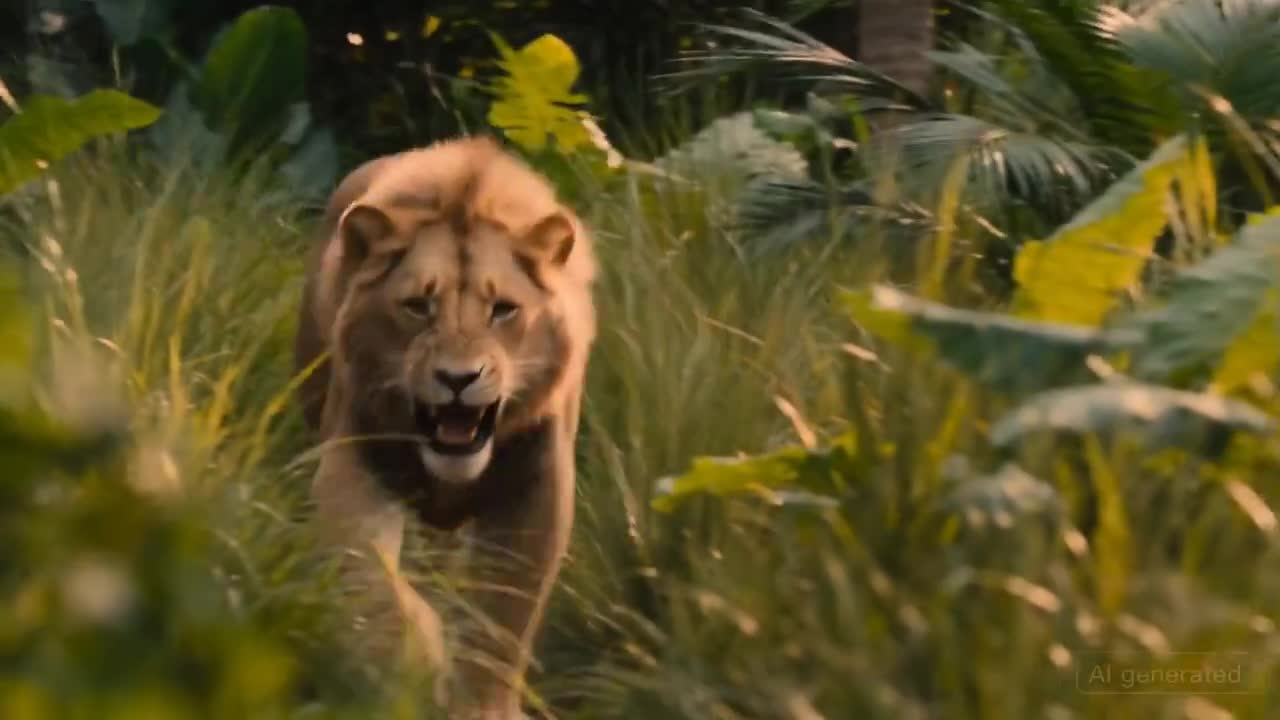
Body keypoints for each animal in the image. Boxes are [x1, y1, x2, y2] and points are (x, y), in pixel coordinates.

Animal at [293, 135, 597, 719]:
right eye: (417, 306)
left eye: (503, 310)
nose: (458, 378)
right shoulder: (354, 464)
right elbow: (372, 581)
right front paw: (415, 661)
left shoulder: (537, 489)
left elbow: (503, 616)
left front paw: (483, 705)